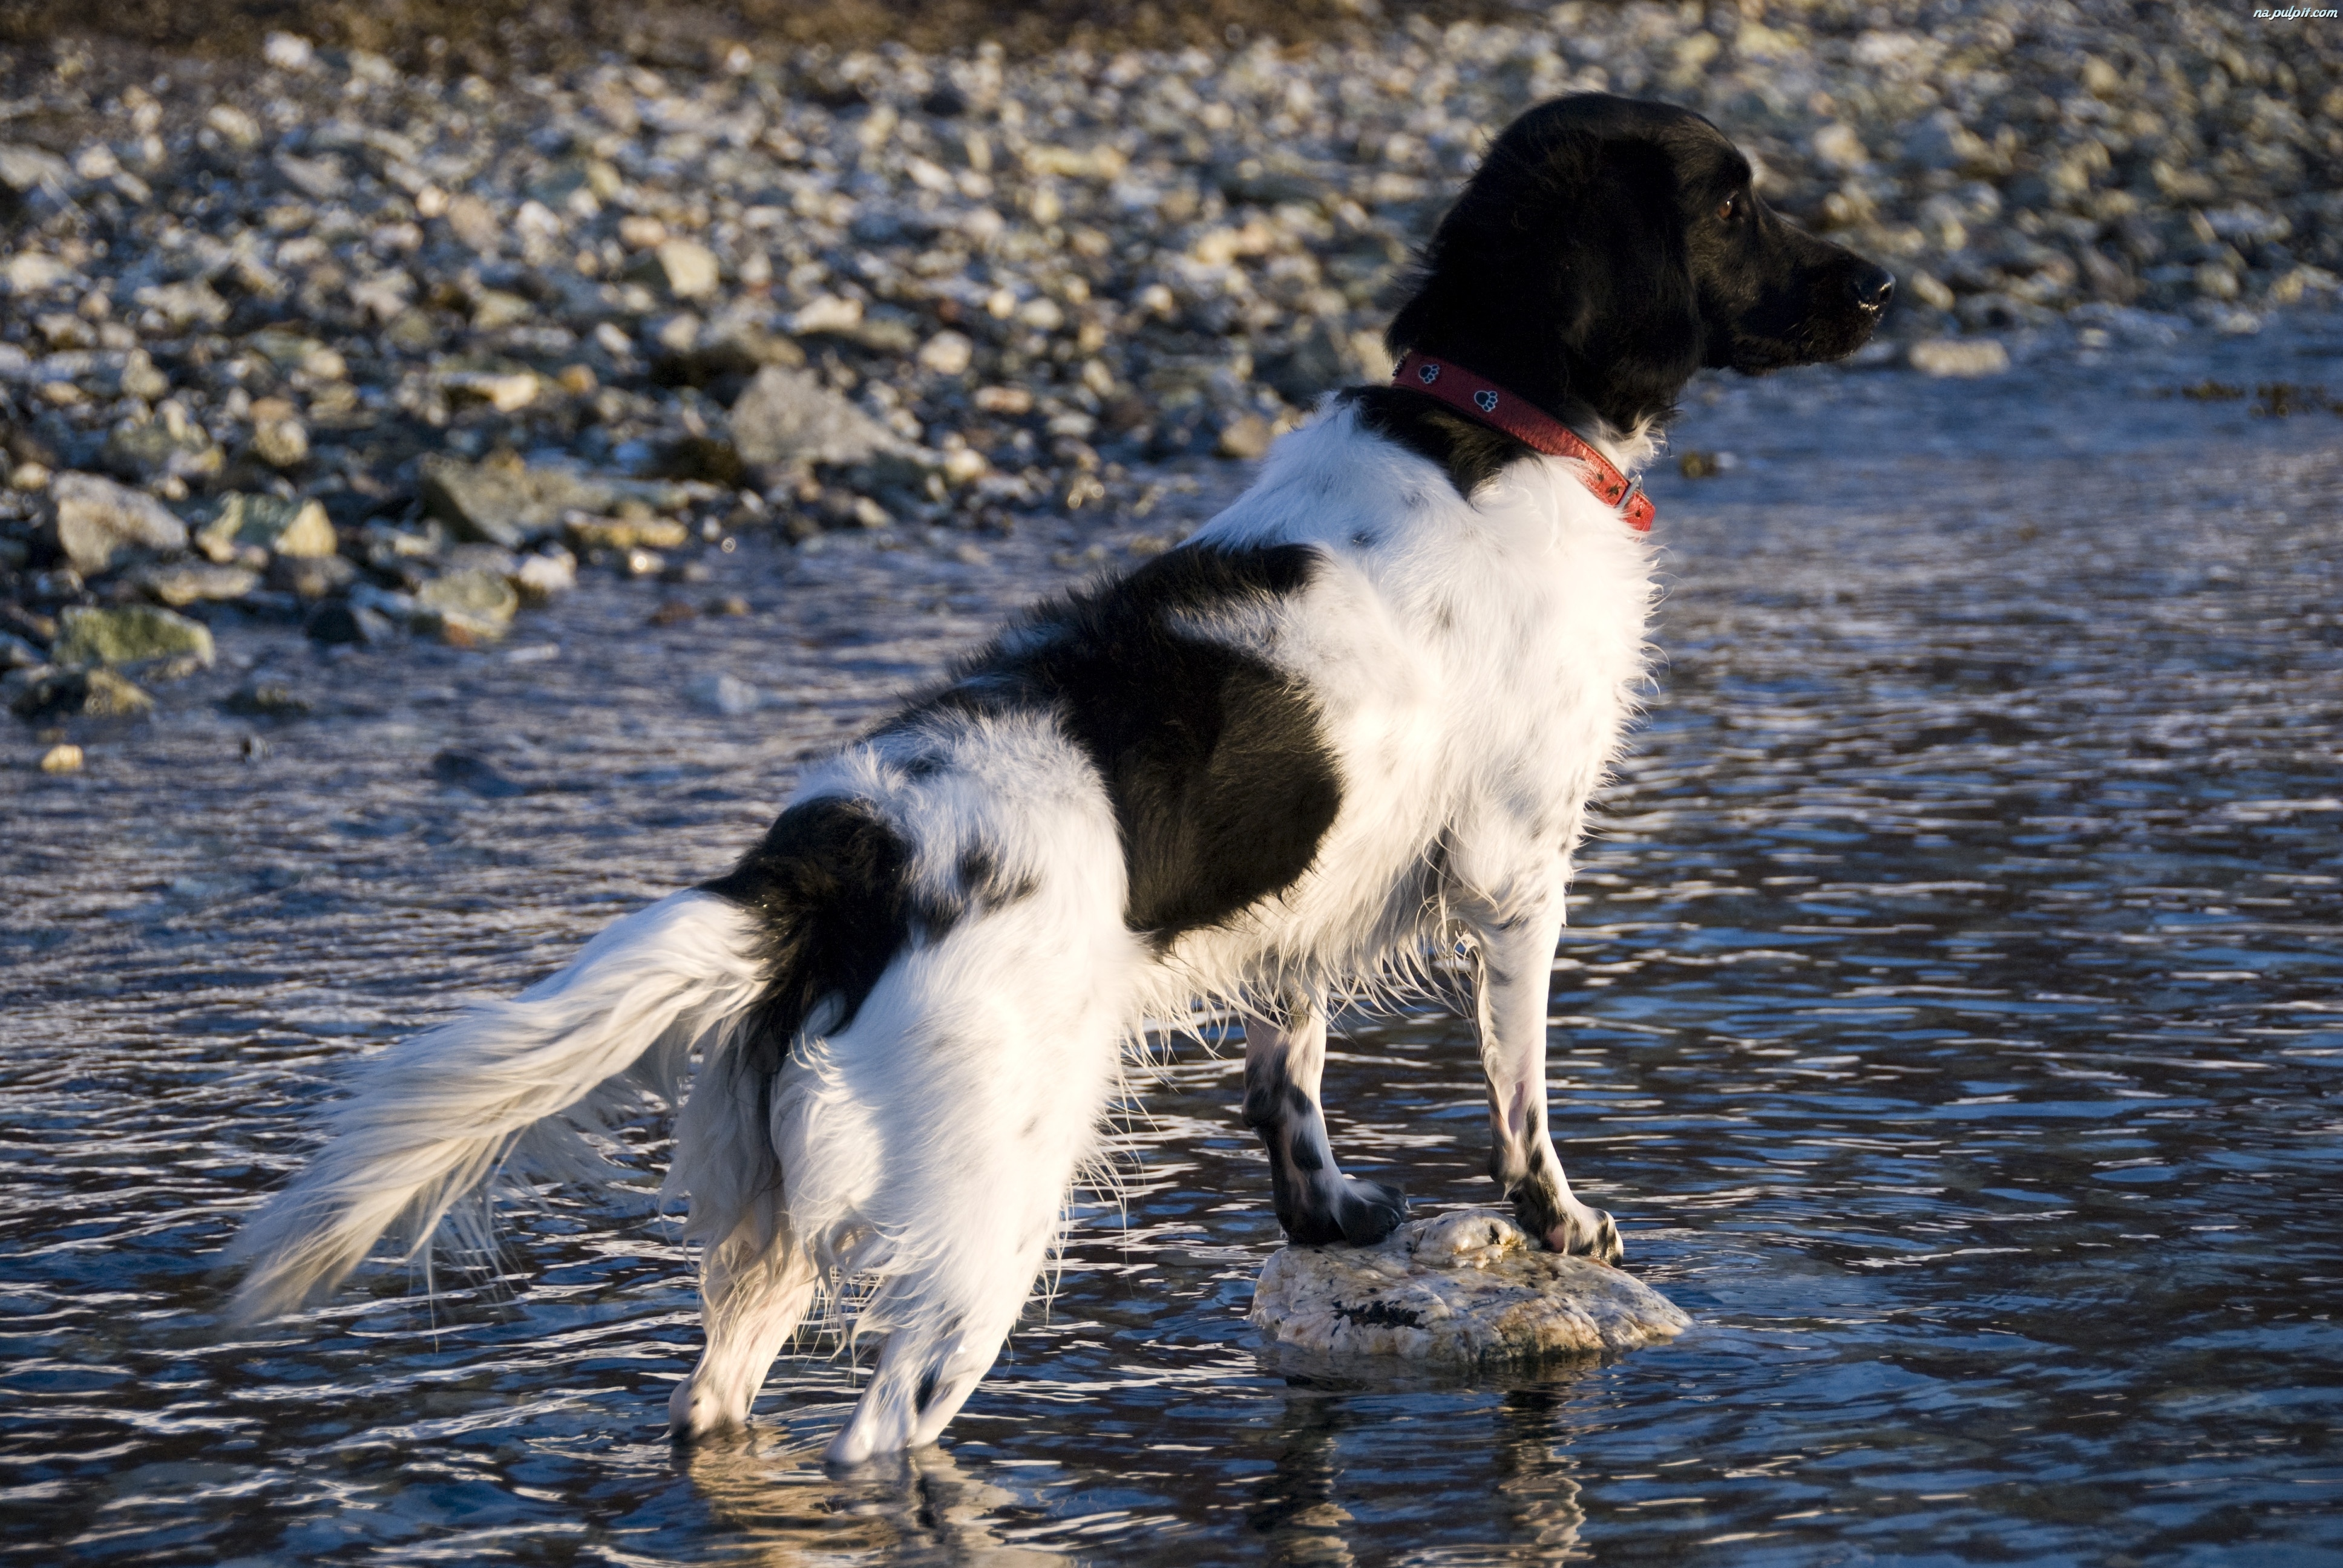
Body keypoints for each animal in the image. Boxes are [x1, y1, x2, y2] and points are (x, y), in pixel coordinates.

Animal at [233, 94, 1884, 1472]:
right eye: (1732, 202)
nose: (1880, 284)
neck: (1490, 425)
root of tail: (844, 857)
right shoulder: (1516, 865)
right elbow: (1519, 1097)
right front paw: (1565, 1221)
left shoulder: (1312, 890)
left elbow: (1289, 1069)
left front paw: (1328, 1215)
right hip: (991, 1218)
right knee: (883, 1437)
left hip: (775, 1237)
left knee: (718, 1413)